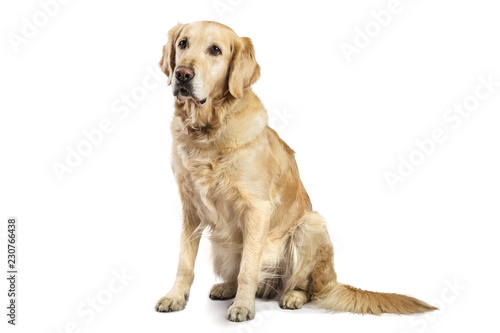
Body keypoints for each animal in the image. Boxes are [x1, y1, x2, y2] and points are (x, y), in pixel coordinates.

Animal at [154, 21, 436, 322]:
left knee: (305, 288)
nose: (182, 74)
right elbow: (184, 263)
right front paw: (175, 297)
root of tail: (332, 281)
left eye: (215, 50)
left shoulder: (257, 209)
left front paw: (243, 306)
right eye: (183, 43)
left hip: (310, 226)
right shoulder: (190, 208)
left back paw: (292, 296)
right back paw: (226, 287)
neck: (207, 135)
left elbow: (248, 268)